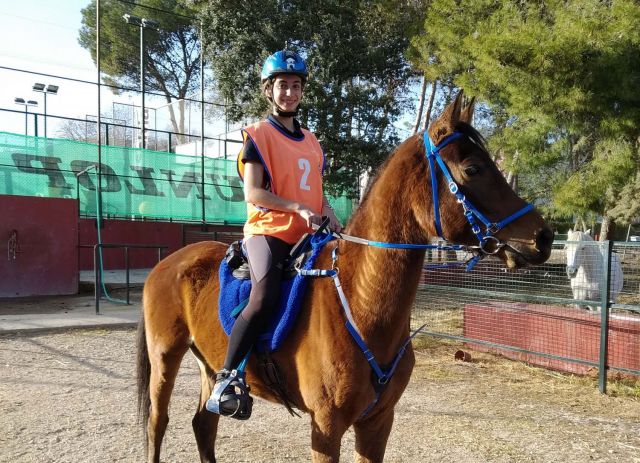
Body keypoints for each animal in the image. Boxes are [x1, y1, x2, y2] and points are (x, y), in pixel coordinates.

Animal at [136, 92, 556, 462]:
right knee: (157, 423)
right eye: (473, 169)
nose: (544, 236)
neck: (359, 299)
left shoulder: (378, 422)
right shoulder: (326, 427)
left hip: (208, 364)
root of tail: (169, 262)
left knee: (203, 425)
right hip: (165, 358)